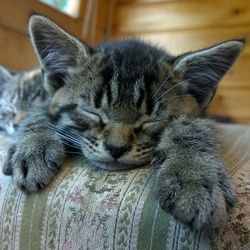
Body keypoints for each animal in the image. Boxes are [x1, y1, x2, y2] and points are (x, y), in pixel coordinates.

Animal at [1, 15, 244, 230]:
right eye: (92, 112)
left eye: (151, 119)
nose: (116, 148)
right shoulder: (46, 99)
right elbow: (39, 113)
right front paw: (32, 148)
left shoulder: (201, 115)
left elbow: (192, 128)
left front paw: (192, 175)